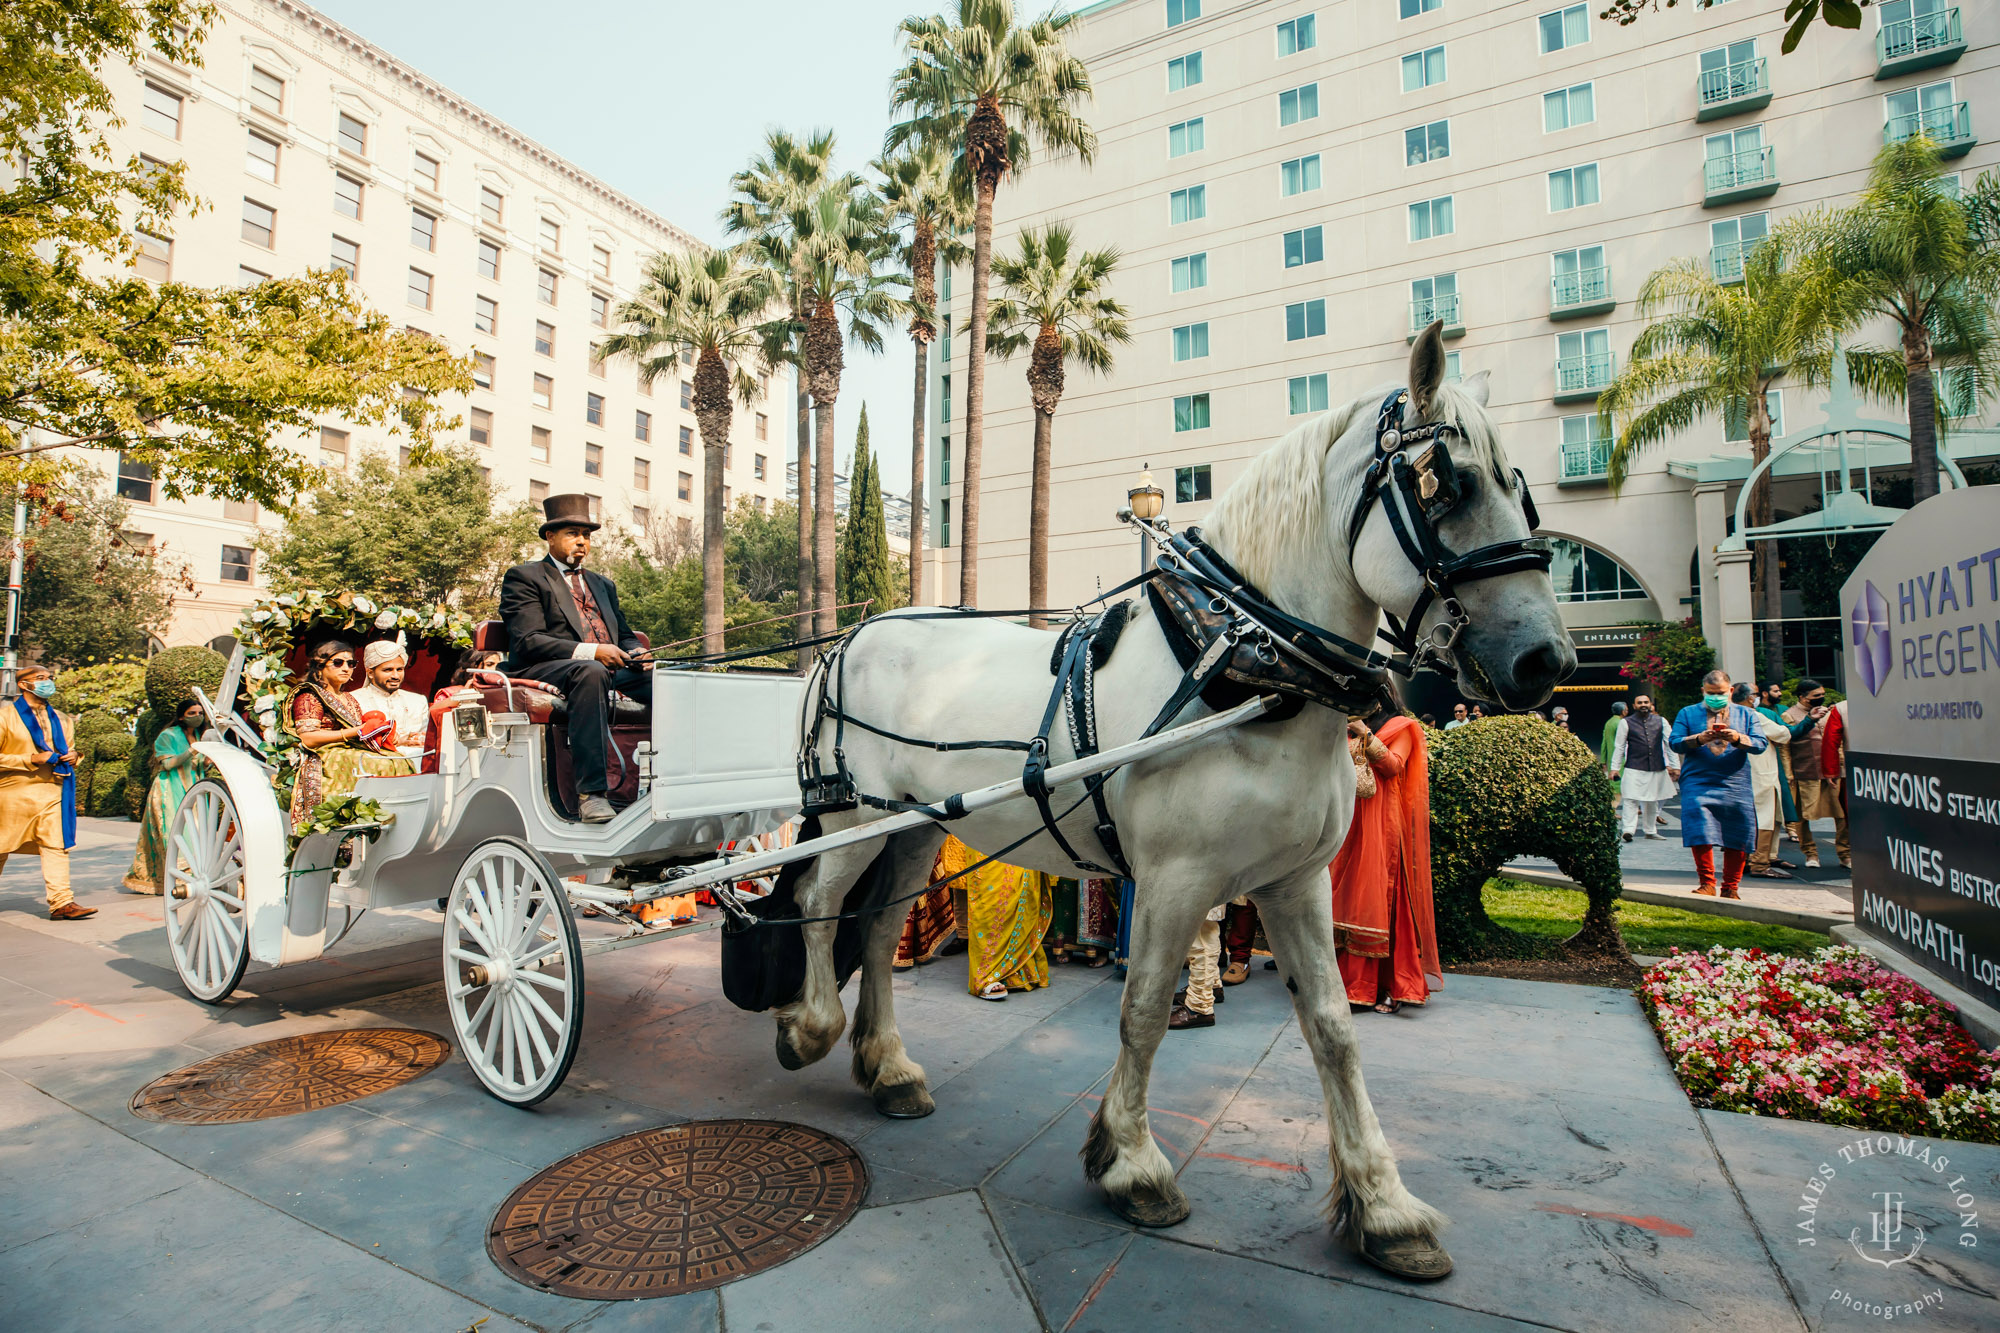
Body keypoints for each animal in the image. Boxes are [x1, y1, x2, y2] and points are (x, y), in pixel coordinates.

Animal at [772, 326, 1568, 1272]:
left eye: (1521, 486)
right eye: (1450, 484)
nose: (1547, 659)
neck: (1248, 665)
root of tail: (851, 635)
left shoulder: (1295, 880)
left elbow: (1333, 1028)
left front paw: (1383, 1205)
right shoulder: (1175, 879)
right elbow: (1145, 1009)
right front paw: (1132, 1161)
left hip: (917, 828)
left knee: (879, 924)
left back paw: (889, 1067)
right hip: (853, 816)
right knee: (817, 901)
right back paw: (810, 1026)